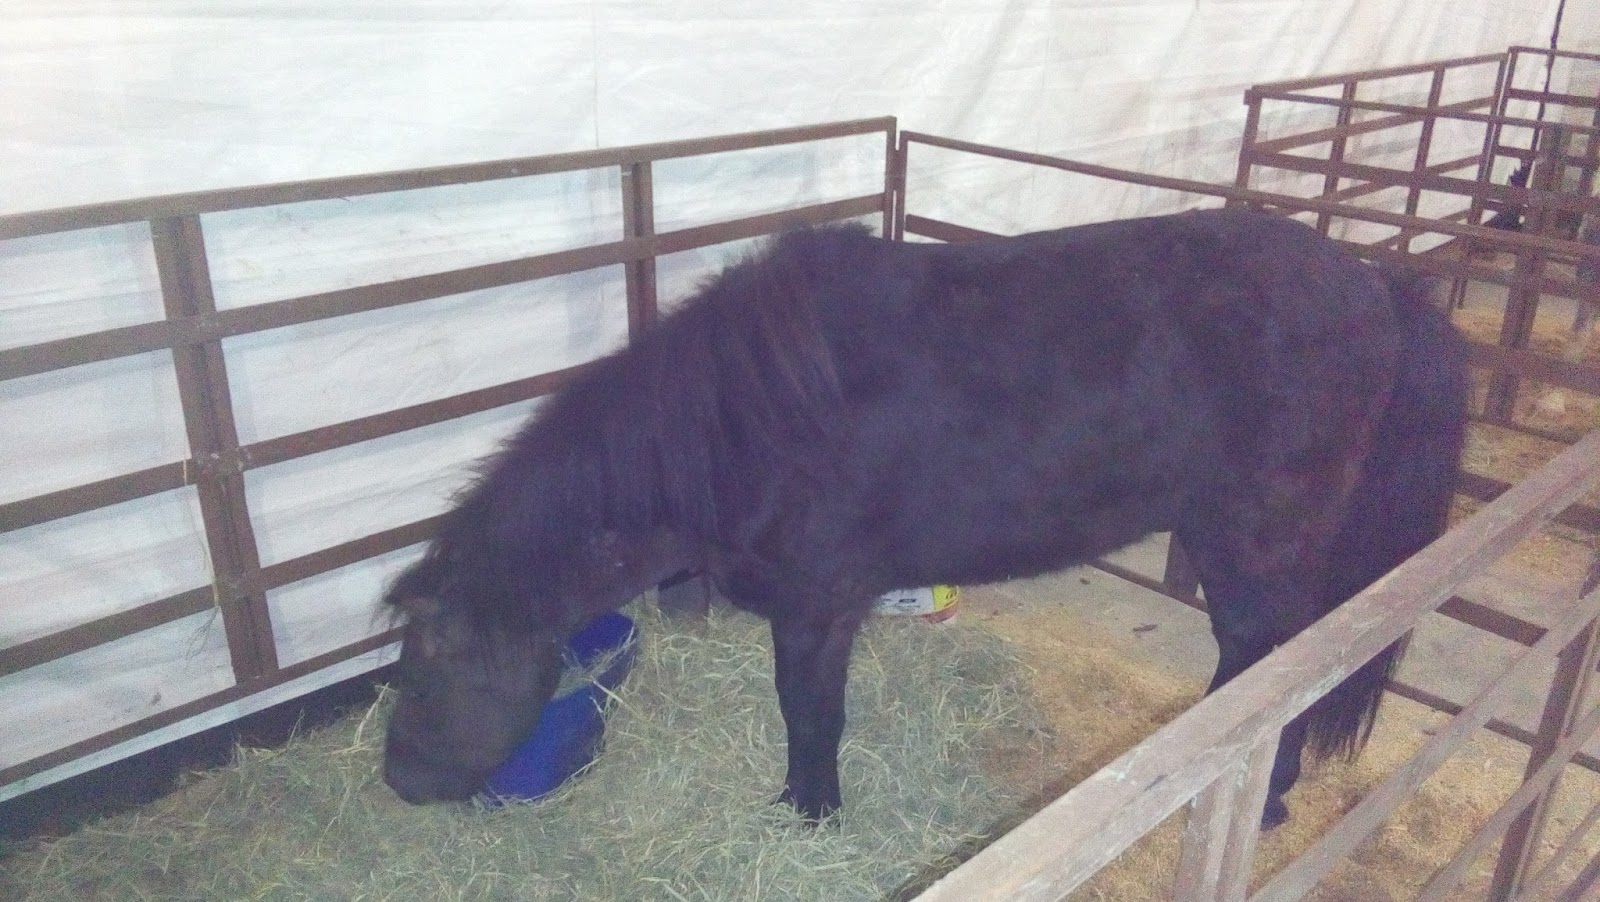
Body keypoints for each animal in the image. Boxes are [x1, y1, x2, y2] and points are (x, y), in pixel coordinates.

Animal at [380, 208, 1469, 829]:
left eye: (431, 661)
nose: (399, 778)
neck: (743, 419)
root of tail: (1374, 282)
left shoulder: (816, 607)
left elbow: (810, 715)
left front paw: (810, 814)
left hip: (1258, 548)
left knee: (1280, 664)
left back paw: (1265, 790)